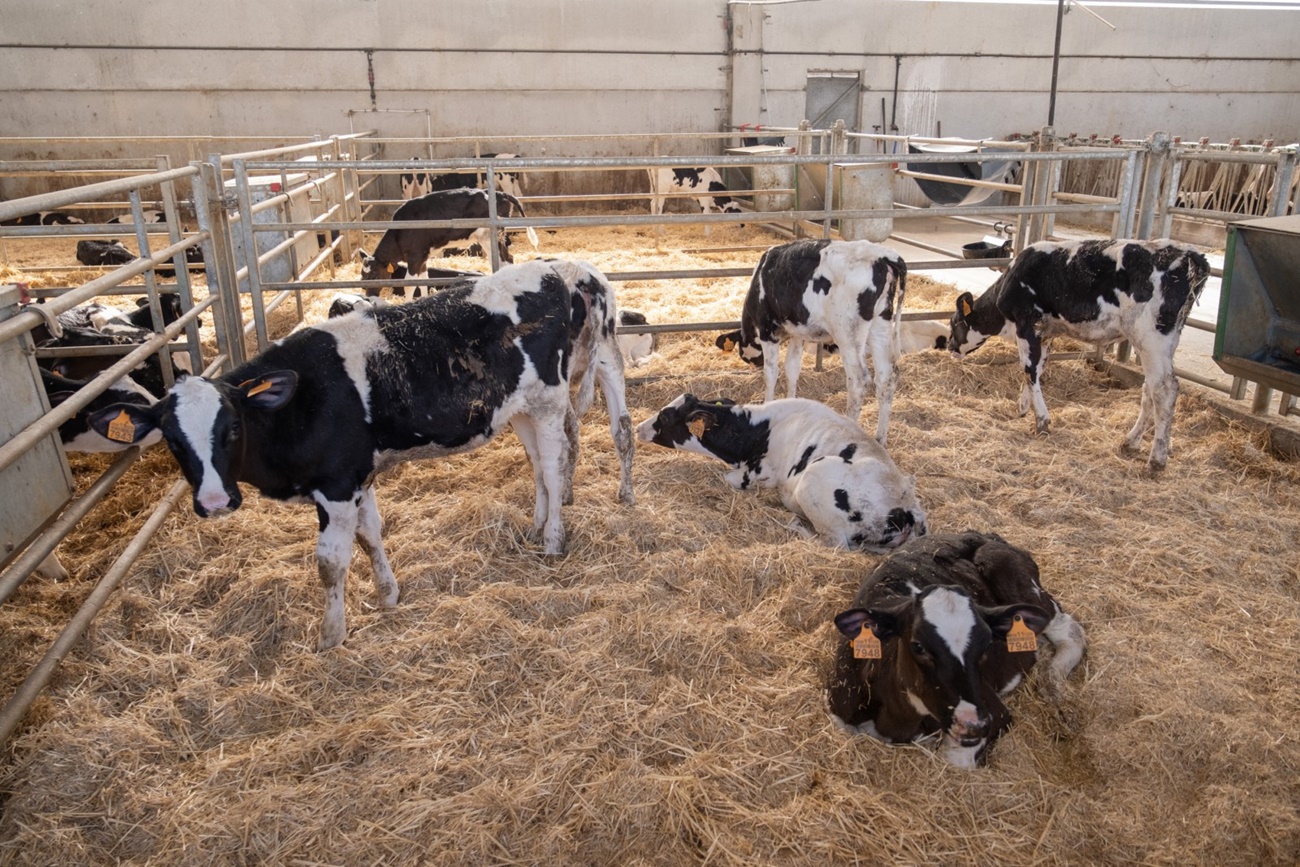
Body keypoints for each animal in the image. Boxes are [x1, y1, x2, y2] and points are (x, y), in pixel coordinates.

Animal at [86, 261, 624, 647]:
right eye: (173, 441)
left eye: (232, 428)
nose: (216, 502)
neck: (303, 401)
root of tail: (558, 271)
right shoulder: (358, 477)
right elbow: (370, 537)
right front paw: (388, 595)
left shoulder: (337, 485)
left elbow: (330, 562)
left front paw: (332, 635)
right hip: (522, 409)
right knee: (537, 467)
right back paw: (536, 526)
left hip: (550, 401)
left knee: (553, 468)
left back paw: (553, 540)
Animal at [637, 395, 925, 548]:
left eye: (664, 417)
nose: (638, 427)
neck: (758, 430)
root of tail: (907, 508)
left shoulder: (758, 473)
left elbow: (727, 478)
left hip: (814, 478)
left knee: (834, 544)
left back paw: (797, 526)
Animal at [832, 532, 1086, 769]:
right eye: (918, 646)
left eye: (986, 645)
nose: (971, 723)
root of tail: (984, 534)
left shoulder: (994, 712)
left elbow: (955, 760)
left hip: (1007, 570)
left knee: (1070, 631)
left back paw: (1053, 686)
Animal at [946, 237, 1206, 470]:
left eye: (954, 322)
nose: (949, 347)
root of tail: (1191, 254)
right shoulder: (1047, 331)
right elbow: (1038, 369)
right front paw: (1023, 407)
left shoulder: (1026, 322)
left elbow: (1028, 369)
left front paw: (1041, 420)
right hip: (1162, 342)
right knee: (1149, 389)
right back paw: (1130, 442)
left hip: (1151, 337)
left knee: (1164, 389)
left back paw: (1156, 459)